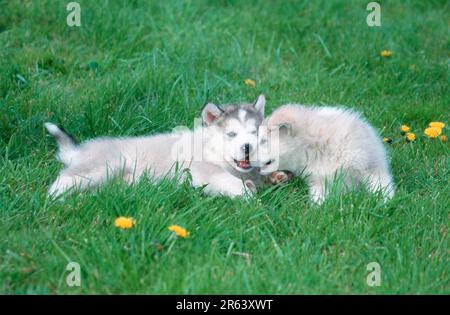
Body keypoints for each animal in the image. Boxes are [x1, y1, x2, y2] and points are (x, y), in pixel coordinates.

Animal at [46, 95, 268, 199]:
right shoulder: (202, 170)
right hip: (102, 166)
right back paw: (56, 200)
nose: (248, 148)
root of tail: (78, 151)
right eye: (231, 135)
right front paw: (251, 198)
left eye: (255, 133)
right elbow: (230, 181)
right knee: (63, 179)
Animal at [256, 105, 394, 204]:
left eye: (263, 141)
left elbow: (381, 186)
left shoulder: (371, 165)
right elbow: (318, 196)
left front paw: (383, 202)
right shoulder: (318, 180)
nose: (250, 164)